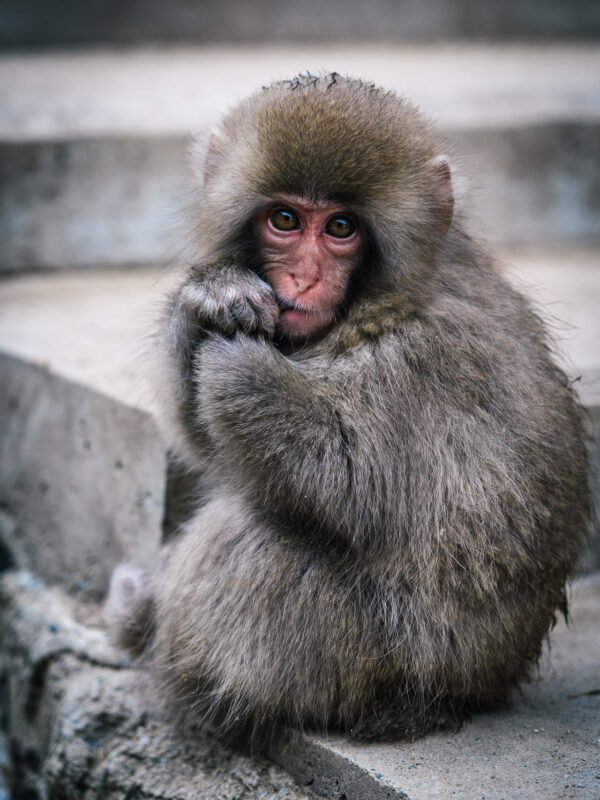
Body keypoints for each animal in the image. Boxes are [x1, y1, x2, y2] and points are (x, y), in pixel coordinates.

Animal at [105, 73, 591, 744]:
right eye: (285, 219)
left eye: (340, 228)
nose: (304, 280)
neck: (377, 298)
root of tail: (478, 691)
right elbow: (205, 441)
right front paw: (208, 298)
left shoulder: (421, 358)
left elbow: (352, 477)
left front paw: (239, 366)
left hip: (373, 661)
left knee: (257, 539)